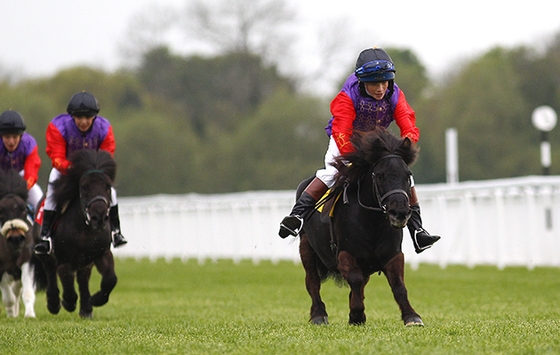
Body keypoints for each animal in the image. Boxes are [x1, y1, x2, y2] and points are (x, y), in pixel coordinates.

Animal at [0, 169, 45, 318]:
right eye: (1, 211)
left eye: (24, 209)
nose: (16, 238)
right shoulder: (2, 267)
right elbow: (8, 297)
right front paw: (11, 314)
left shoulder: (27, 260)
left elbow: (27, 291)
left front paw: (30, 315)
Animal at [35, 149, 118, 318]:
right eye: (84, 187)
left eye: (107, 186)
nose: (99, 217)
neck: (84, 230)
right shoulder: (65, 259)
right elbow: (65, 275)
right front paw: (68, 301)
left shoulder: (101, 253)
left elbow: (110, 278)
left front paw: (96, 299)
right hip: (45, 255)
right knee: (50, 271)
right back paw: (54, 303)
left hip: (85, 261)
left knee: (82, 278)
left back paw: (86, 308)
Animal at [298, 129, 424, 328]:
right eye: (380, 175)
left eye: (408, 174)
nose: (400, 212)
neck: (372, 222)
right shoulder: (345, 254)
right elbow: (355, 280)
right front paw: (357, 315)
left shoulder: (393, 254)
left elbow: (398, 285)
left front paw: (412, 316)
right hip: (306, 247)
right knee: (312, 281)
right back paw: (319, 314)